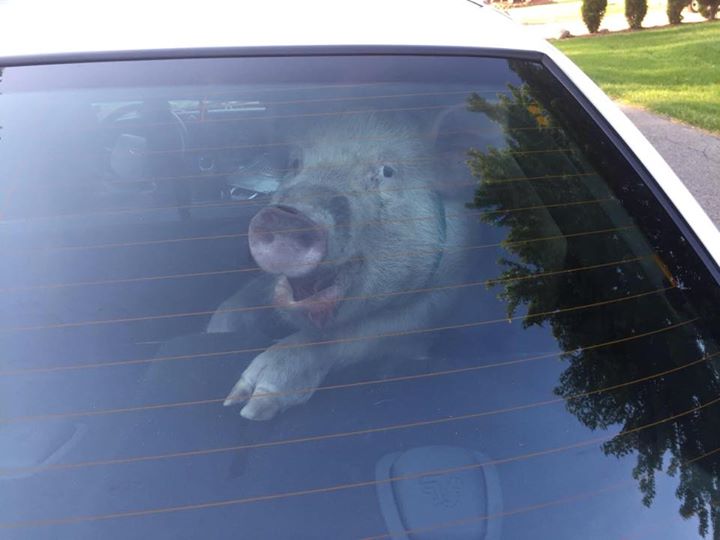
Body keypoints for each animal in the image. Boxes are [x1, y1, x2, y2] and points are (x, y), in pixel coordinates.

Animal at [207, 115, 472, 422]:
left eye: (387, 171)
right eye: (295, 162)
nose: (287, 217)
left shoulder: (442, 297)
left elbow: (367, 333)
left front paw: (249, 406)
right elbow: (236, 305)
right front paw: (216, 336)